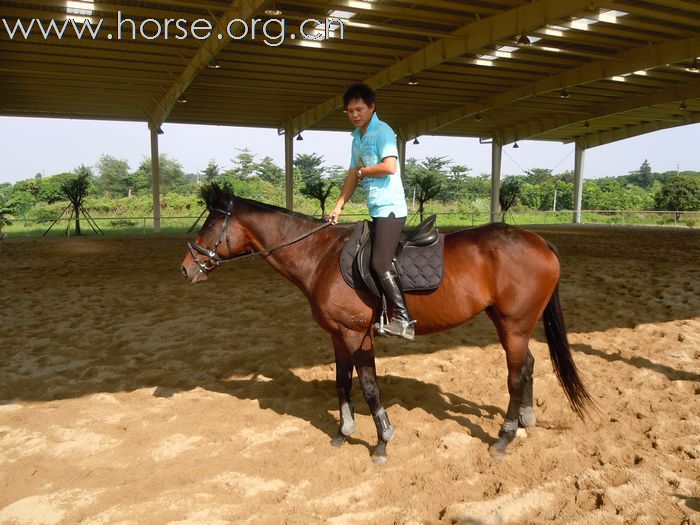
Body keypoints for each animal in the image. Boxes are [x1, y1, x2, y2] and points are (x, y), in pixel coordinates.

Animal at [180, 186, 592, 464]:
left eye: (212, 224)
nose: (186, 268)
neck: (321, 256)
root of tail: (539, 241)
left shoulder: (357, 335)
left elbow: (369, 386)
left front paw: (382, 442)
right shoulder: (337, 334)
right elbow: (342, 382)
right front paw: (343, 433)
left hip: (514, 324)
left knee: (516, 375)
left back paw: (504, 438)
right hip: (509, 323)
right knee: (529, 365)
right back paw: (525, 419)